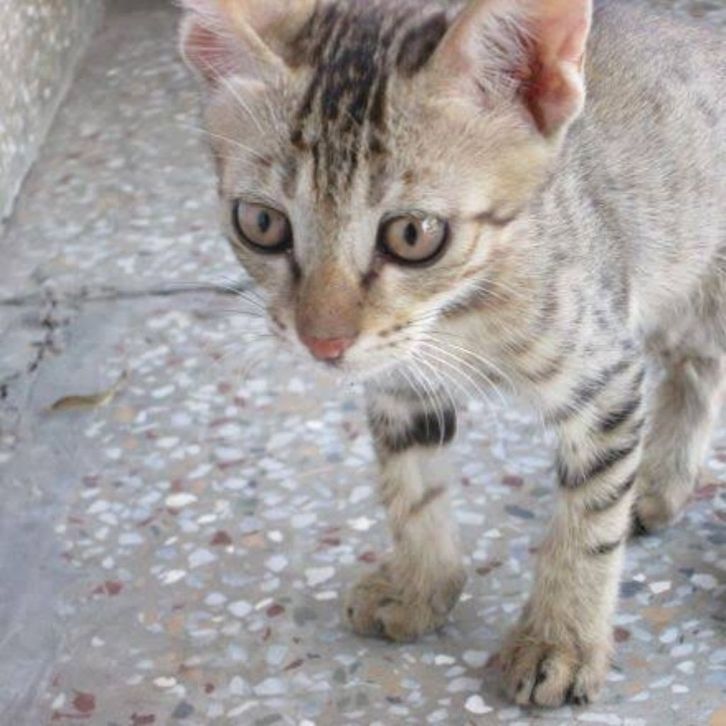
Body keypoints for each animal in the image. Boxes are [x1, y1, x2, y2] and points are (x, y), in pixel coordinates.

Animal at [178, 0, 725, 707]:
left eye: (413, 234)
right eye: (262, 224)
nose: (322, 342)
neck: (462, 313)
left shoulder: (603, 376)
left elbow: (590, 518)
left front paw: (559, 639)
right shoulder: (398, 381)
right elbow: (411, 488)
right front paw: (421, 584)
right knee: (698, 366)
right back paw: (660, 482)